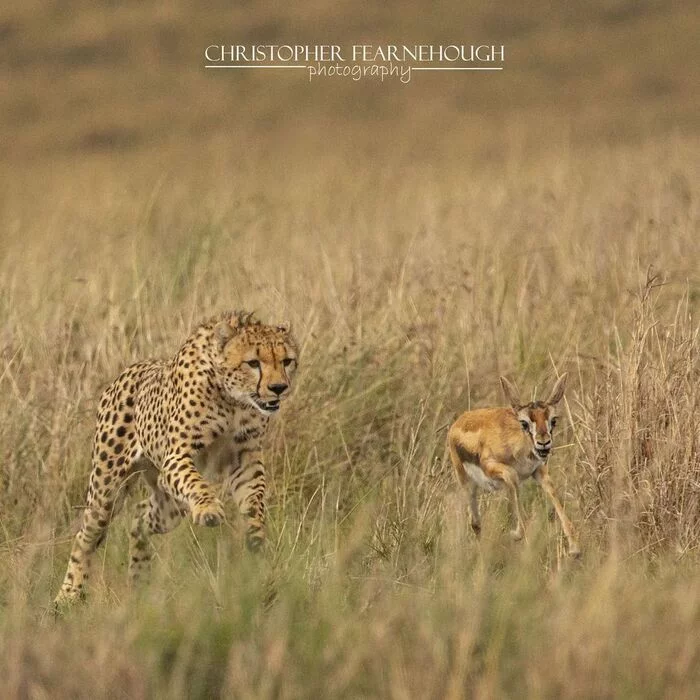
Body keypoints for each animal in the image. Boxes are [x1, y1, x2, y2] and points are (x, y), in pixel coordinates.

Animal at [53, 308, 296, 604]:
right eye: (253, 363)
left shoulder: (245, 459)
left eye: (286, 361)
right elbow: (196, 484)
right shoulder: (177, 457)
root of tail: (128, 370)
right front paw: (209, 509)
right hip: (106, 489)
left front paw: (256, 533)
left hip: (170, 506)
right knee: (86, 535)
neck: (233, 399)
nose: (279, 387)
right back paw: (67, 595)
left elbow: (254, 497)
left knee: (140, 516)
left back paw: (139, 578)